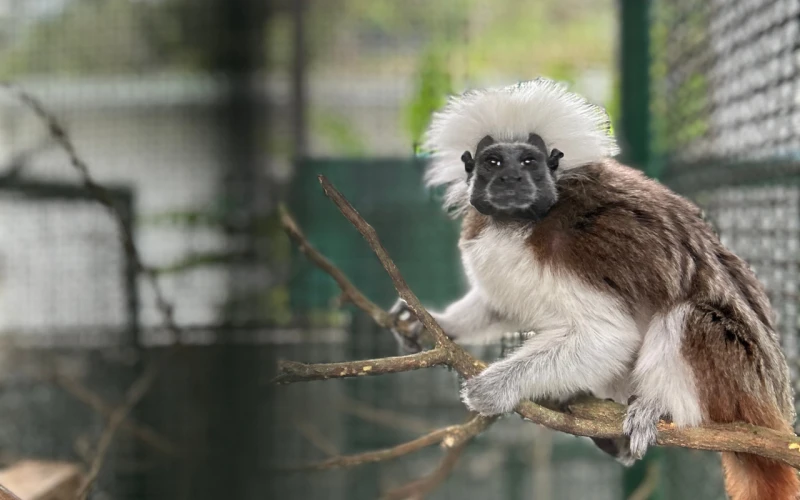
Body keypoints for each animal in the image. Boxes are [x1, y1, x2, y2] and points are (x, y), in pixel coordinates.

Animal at [390, 78, 792, 500]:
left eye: (529, 162)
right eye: (493, 162)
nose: (511, 180)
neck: (520, 224)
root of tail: (773, 412)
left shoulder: (581, 251)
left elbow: (609, 337)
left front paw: (496, 387)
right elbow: (502, 305)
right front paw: (437, 324)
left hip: (740, 384)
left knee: (689, 314)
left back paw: (662, 408)